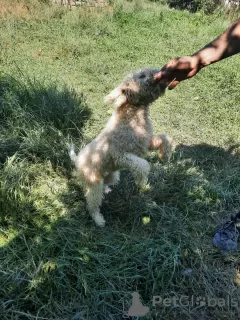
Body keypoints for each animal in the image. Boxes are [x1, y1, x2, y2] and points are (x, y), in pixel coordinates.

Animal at [69, 69, 172, 226]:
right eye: (141, 76)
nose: (161, 71)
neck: (133, 117)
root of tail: (77, 160)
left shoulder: (146, 142)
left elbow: (165, 138)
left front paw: (165, 156)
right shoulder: (121, 155)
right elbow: (143, 165)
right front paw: (142, 182)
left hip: (112, 175)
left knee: (106, 184)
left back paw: (107, 190)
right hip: (93, 183)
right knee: (92, 203)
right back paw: (99, 220)